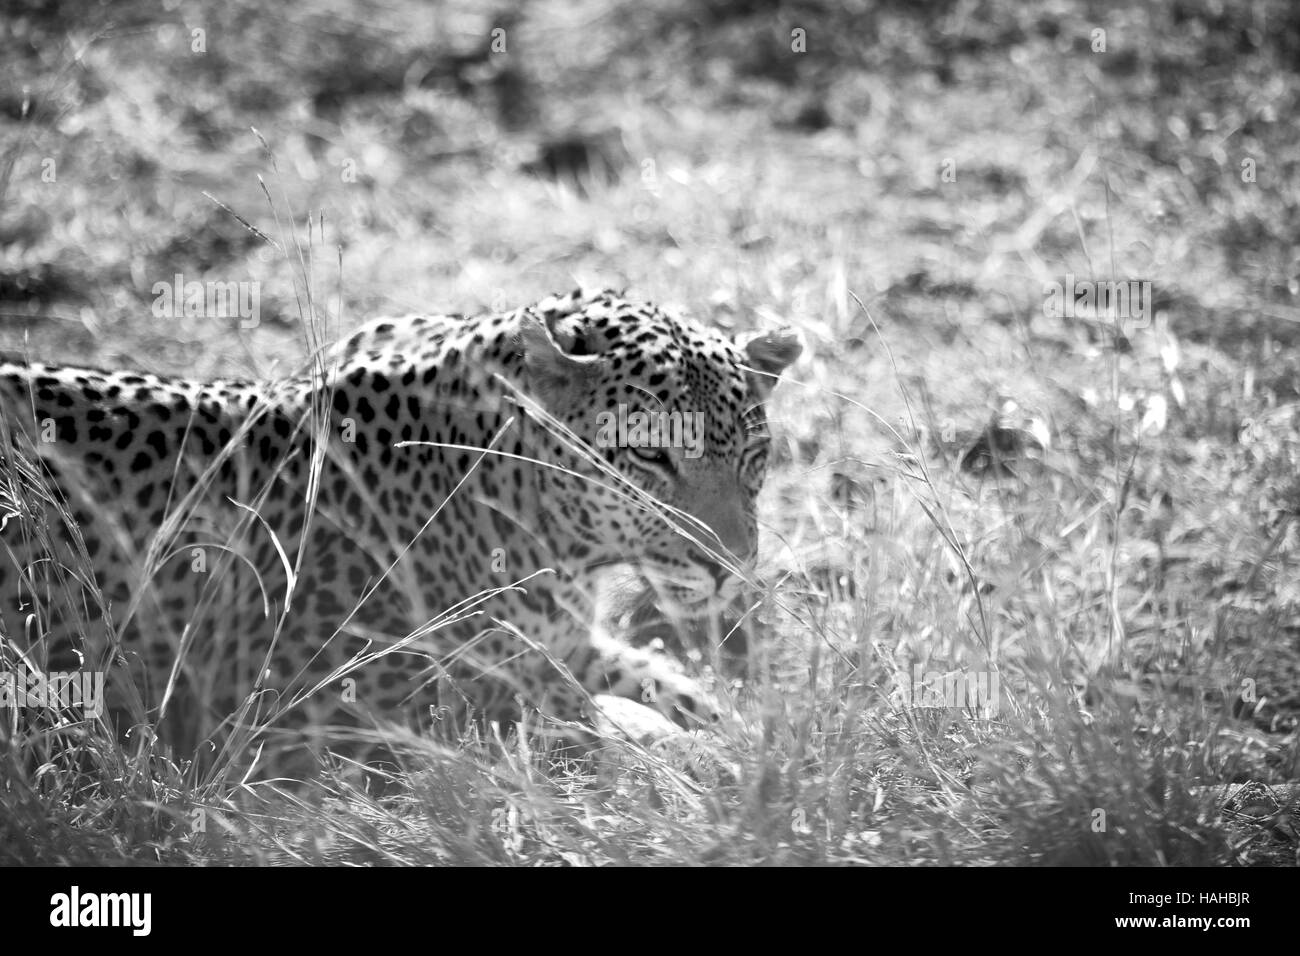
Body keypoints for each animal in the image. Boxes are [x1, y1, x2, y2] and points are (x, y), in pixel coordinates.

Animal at [0, 290, 795, 770]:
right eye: (652, 456)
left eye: (753, 454)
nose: (731, 564)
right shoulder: (339, 715)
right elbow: (571, 721)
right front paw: (681, 754)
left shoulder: (559, 644)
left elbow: (657, 681)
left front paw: (740, 732)